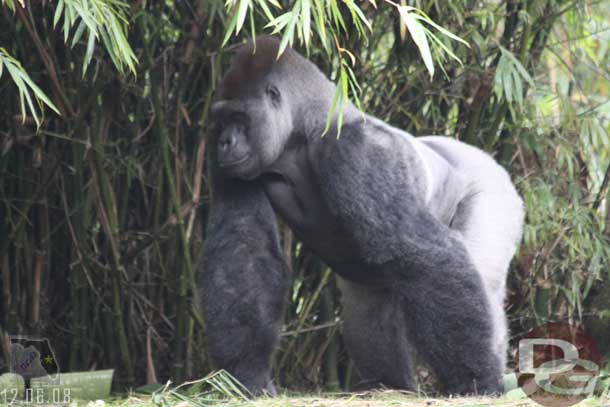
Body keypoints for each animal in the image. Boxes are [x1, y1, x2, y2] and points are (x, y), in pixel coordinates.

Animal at [201, 35, 524, 398]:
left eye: (239, 116)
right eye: (221, 120)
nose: (225, 142)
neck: (302, 129)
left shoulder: (356, 148)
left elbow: (422, 252)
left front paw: (476, 379)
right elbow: (244, 250)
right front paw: (249, 374)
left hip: (494, 190)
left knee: (479, 272)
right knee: (369, 304)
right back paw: (391, 386)